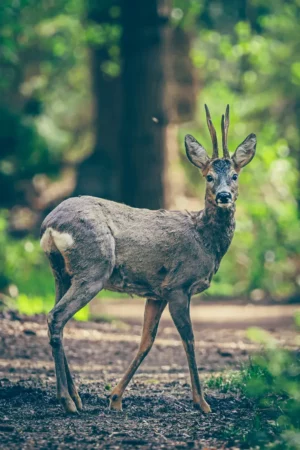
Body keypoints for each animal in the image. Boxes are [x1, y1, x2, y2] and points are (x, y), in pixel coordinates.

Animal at [39, 105, 255, 414]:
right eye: (209, 176)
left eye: (235, 175)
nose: (224, 196)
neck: (204, 240)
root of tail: (50, 225)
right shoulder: (178, 285)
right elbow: (189, 338)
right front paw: (202, 402)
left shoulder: (157, 292)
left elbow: (146, 341)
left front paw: (115, 398)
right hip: (93, 270)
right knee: (56, 317)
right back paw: (67, 401)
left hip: (62, 272)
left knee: (55, 318)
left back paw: (77, 398)